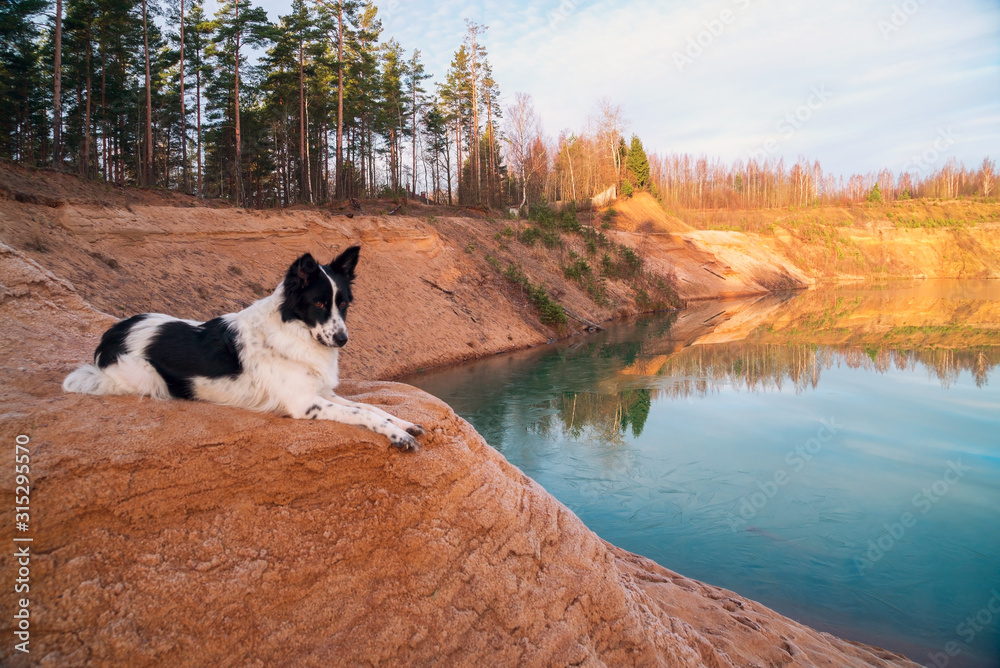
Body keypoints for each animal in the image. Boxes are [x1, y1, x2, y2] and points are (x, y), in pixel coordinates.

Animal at [62, 248, 422, 452]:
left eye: (343, 303)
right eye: (319, 303)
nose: (343, 339)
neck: (294, 331)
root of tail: (113, 331)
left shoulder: (323, 392)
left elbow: (371, 407)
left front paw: (402, 423)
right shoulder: (305, 403)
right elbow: (363, 413)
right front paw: (397, 436)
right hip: (143, 375)